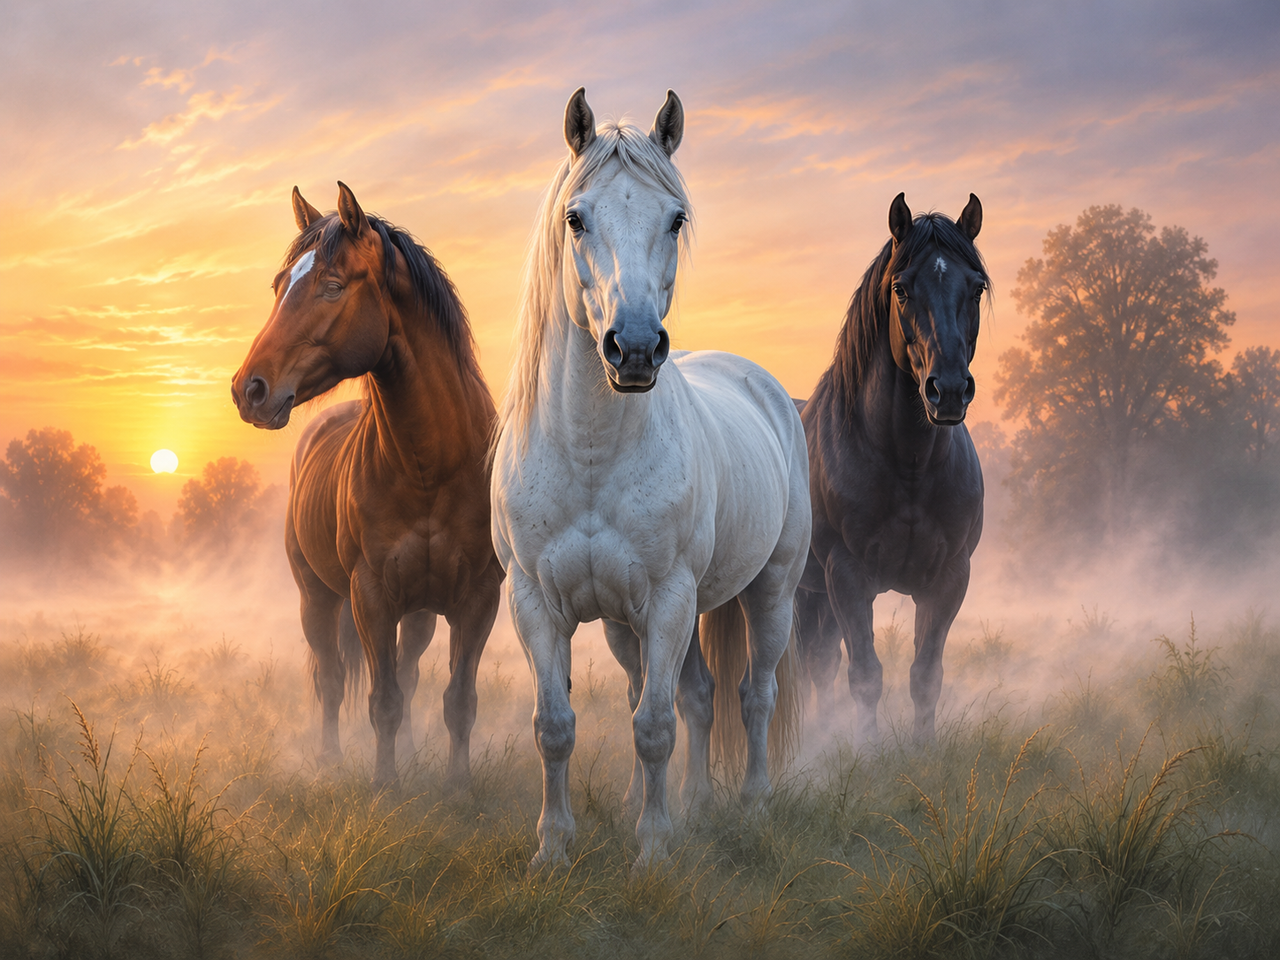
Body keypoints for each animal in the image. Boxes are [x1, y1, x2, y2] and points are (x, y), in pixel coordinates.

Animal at [231, 183, 503, 786]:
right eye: (280, 285)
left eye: (333, 286)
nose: (249, 390)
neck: (431, 468)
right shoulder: (370, 595)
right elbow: (382, 700)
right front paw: (386, 785)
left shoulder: (478, 599)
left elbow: (459, 700)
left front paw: (459, 786)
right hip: (317, 598)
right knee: (332, 679)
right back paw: (330, 760)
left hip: (420, 613)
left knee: (410, 671)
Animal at [490, 88, 810, 873]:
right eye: (576, 218)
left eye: (676, 218)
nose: (633, 349)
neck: (590, 458)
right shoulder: (536, 603)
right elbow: (556, 725)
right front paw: (554, 847)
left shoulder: (669, 599)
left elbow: (655, 725)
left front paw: (656, 850)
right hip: (625, 622)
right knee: (688, 694)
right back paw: (685, 802)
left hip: (769, 590)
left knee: (751, 695)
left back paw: (750, 804)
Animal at [796, 192, 987, 743]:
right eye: (901, 288)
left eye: (976, 286)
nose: (948, 390)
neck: (909, 467)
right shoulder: (847, 576)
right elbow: (865, 675)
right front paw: (865, 751)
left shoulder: (949, 578)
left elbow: (926, 674)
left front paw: (923, 752)